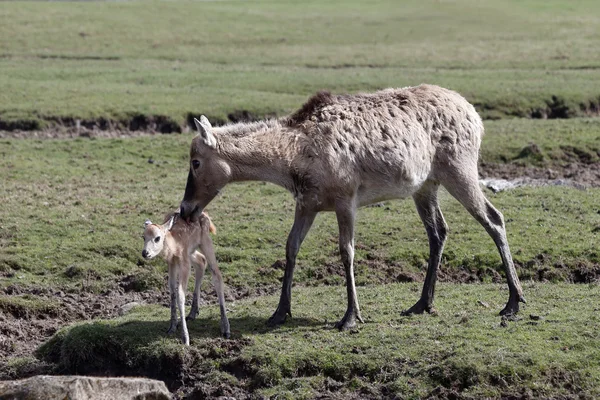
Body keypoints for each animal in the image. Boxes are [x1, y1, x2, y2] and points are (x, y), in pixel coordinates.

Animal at [179, 83, 524, 328]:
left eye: (196, 162)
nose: (185, 208)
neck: (293, 160)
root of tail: (475, 116)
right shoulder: (307, 204)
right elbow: (291, 248)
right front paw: (279, 312)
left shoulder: (346, 200)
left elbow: (347, 251)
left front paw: (350, 317)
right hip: (425, 186)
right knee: (438, 231)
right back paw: (422, 304)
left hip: (459, 169)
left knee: (494, 218)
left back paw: (513, 302)